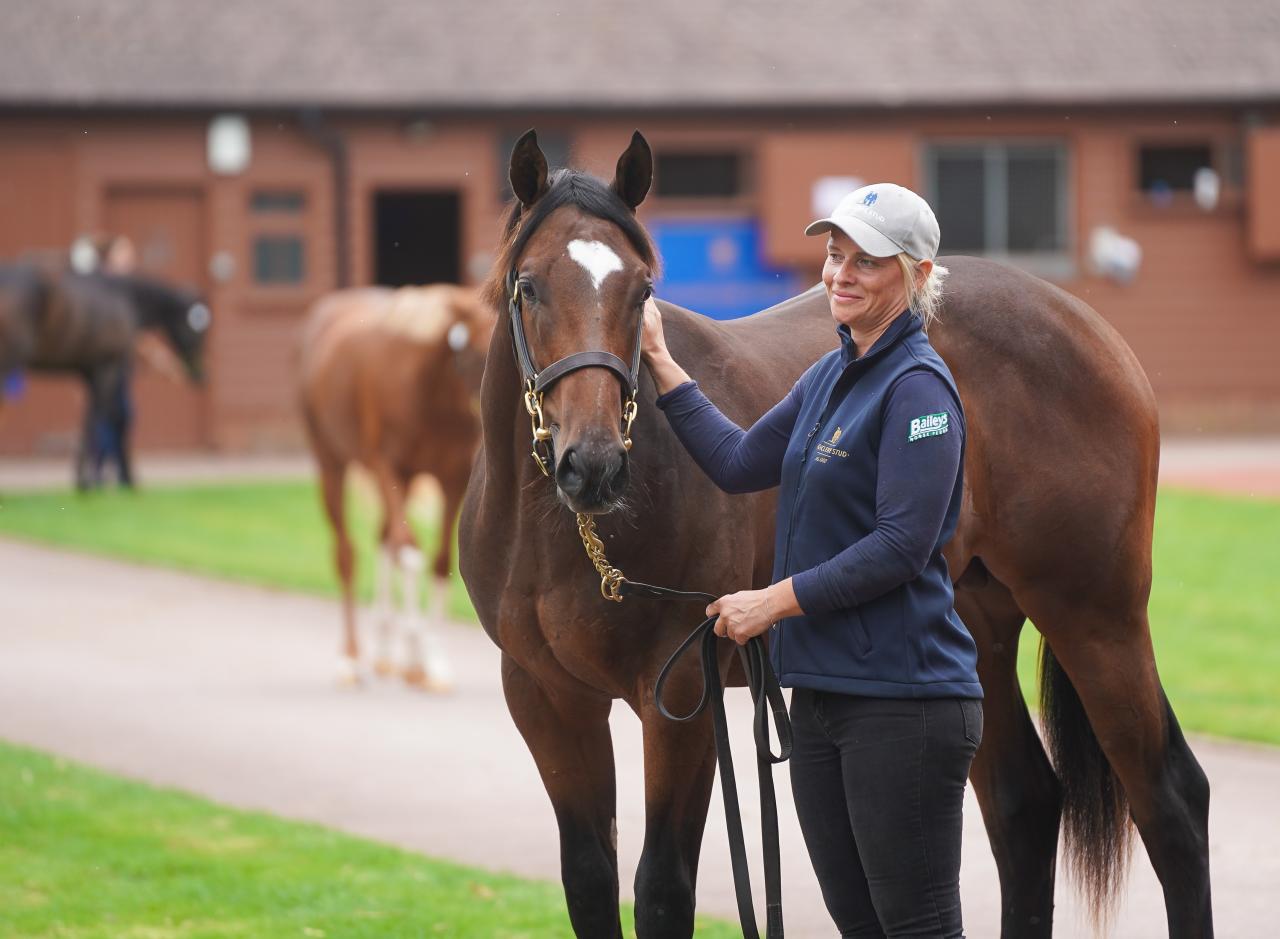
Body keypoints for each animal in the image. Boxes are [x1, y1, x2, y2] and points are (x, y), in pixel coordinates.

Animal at [0, 260, 209, 488]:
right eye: (197, 327)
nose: (200, 374)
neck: (124, 296)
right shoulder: (108, 365)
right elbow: (108, 416)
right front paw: (104, 479)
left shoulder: (90, 370)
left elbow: (91, 418)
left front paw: (87, 477)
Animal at [298, 286, 494, 690]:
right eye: (473, 352)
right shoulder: (388, 469)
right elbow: (409, 553)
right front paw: (416, 651)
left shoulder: (453, 479)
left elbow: (439, 561)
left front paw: (430, 660)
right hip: (333, 465)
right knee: (348, 554)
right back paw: (351, 658)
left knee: (383, 539)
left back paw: (385, 652)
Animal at [458, 134, 1208, 939]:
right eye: (529, 287)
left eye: (642, 293)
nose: (593, 464)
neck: (570, 537)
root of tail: (1089, 327)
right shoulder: (545, 697)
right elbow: (590, 883)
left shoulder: (682, 693)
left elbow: (661, 888)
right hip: (977, 627)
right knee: (1025, 805)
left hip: (1096, 617)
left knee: (1171, 800)